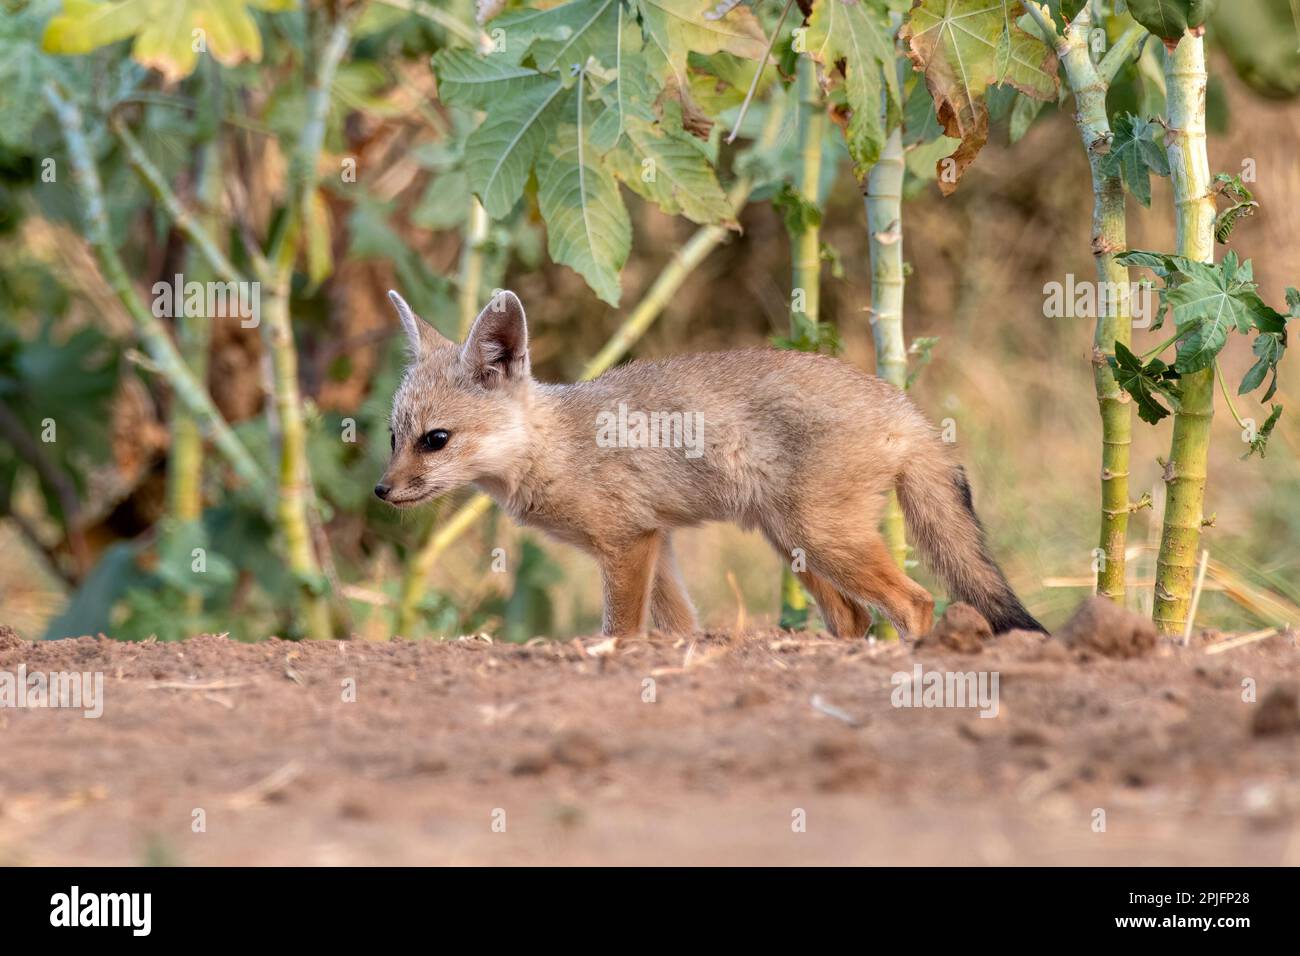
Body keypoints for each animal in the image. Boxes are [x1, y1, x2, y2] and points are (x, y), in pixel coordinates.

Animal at [377, 289, 1045, 640]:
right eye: (393, 437)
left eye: (435, 440)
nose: (382, 491)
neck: (557, 444)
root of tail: (904, 406)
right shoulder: (658, 542)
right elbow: (683, 629)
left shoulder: (628, 543)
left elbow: (620, 631)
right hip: (797, 547)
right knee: (854, 616)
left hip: (824, 540)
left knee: (916, 602)